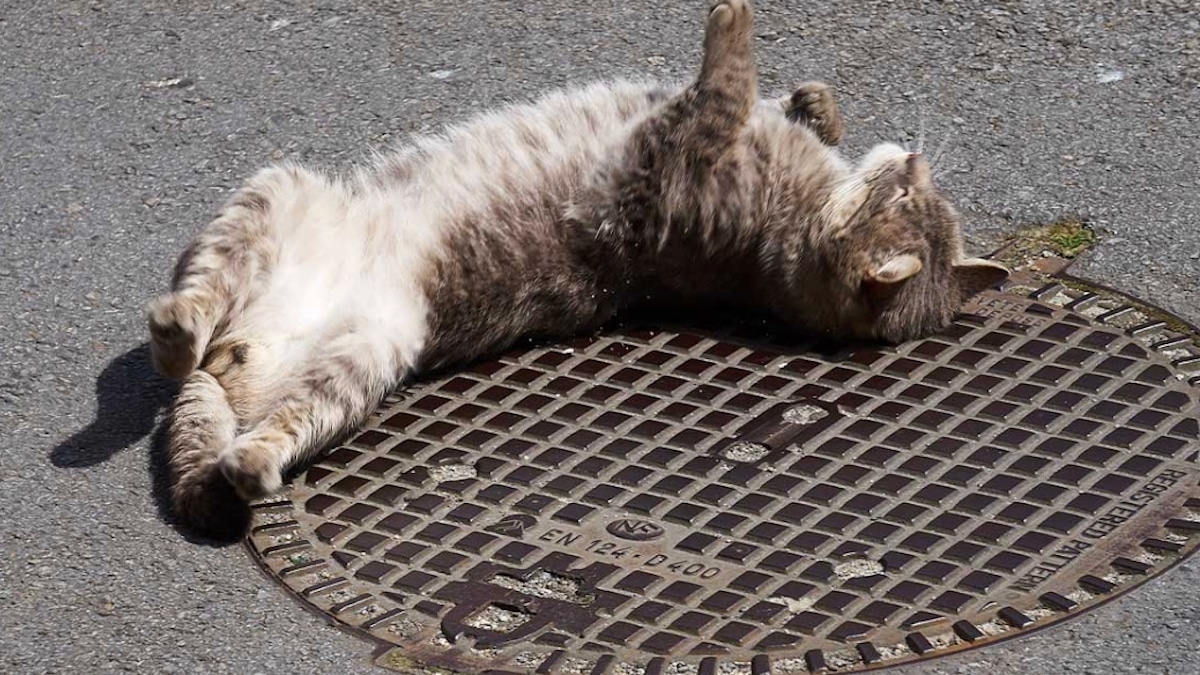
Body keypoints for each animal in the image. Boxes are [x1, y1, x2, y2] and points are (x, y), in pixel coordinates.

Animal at [150, 0, 1012, 535]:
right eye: (919, 189)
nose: (916, 157)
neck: (777, 239)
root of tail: (236, 358)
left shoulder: (668, 153)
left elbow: (726, 84)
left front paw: (737, 27)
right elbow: (793, 103)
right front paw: (816, 100)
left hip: (363, 356)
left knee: (247, 405)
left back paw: (230, 424)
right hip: (273, 199)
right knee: (204, 313)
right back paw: (183, 333)